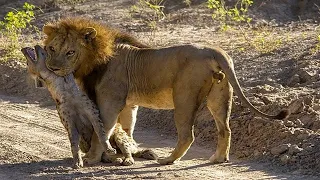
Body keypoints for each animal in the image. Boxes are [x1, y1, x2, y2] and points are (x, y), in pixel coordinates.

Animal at [41, 17, 288, 165]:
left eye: (70, 52)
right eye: (51, 48)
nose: (52, 68)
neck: (95, 58)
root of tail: (215, 50)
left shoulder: (109, 101)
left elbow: (101, 130)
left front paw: (92, 158)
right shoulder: (129, 104)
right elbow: (127, 129)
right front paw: (125, 152)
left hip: (184, 98)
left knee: (187, 134)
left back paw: (167, 160)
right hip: (219, 96)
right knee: (225, 128)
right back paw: (217, 158)